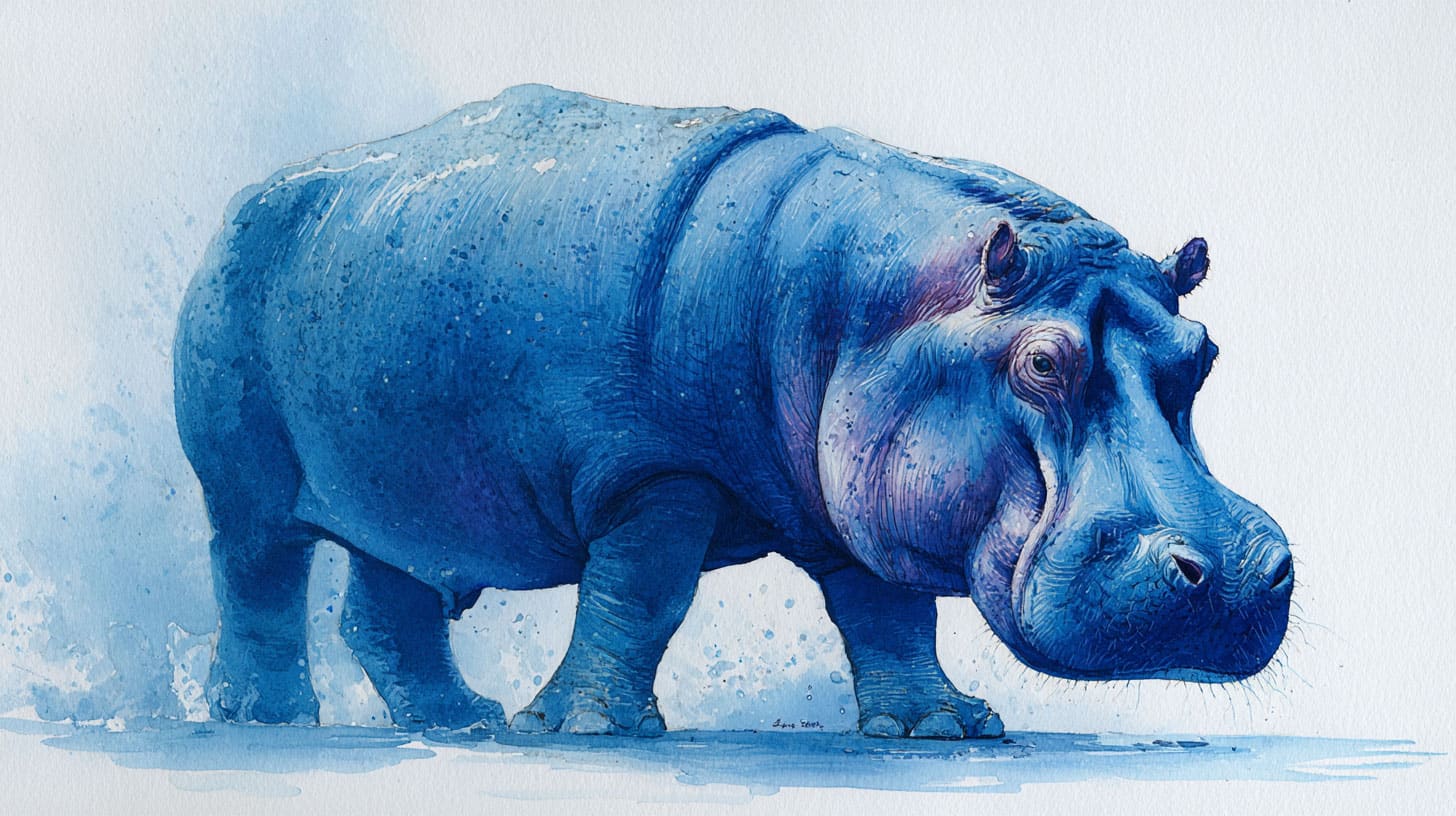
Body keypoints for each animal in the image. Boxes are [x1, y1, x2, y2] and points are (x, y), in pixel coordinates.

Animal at [173, 84, 1292, 739]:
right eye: (1044, 362)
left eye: (1203, 355)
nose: (1242, 574)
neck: (875, 308)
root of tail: (247, 197)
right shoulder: (659, 473)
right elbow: (640, 596)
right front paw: (585, 733)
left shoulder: (852, 495)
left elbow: (890, 616)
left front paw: (943, 731)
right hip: (244, 471)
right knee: (256, 568)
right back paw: (268, 720)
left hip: (403, 463)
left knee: (389, 588)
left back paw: (460, 722)